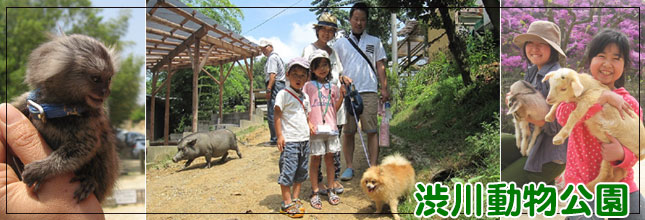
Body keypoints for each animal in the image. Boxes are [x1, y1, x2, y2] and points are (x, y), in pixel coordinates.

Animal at [10, 34, 119, 203]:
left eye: (108, 79)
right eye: (96, 79)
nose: (106, 91)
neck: (57, 109)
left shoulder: (89, 120)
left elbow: (83, 147)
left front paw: (41, 169)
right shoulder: (29, 101)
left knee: (105, 145)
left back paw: (90, 181)